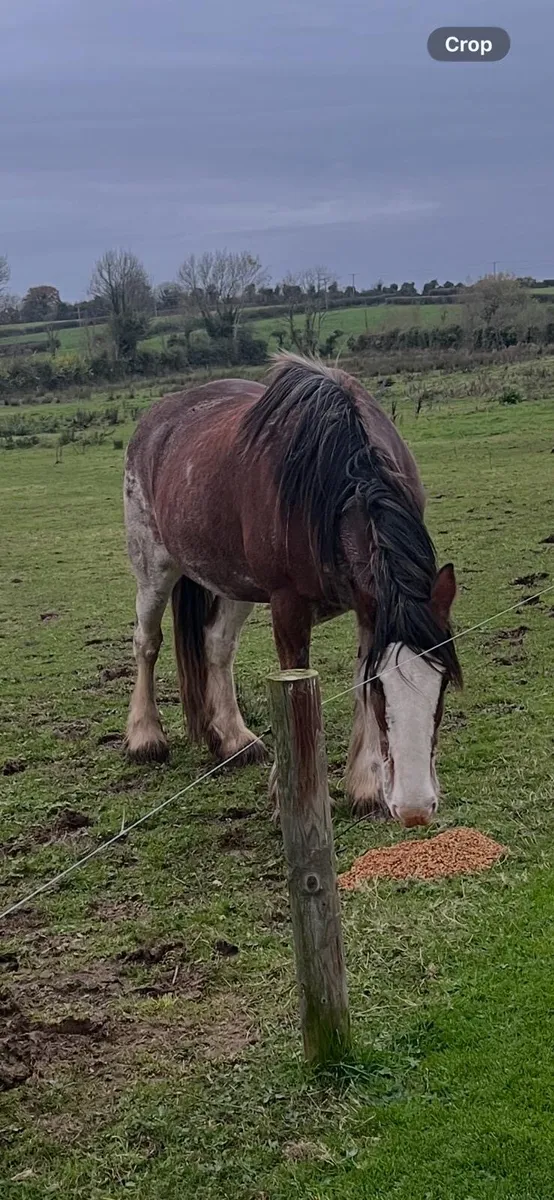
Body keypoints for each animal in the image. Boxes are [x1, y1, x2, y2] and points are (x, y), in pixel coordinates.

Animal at [123, 351, 462, 829]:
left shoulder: (367, 607)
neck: (334, 480)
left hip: (236, 582)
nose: (415, 808)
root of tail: (158, 416)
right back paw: (145, 736)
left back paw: (234, 739)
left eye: (443, 681)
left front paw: (364, 787)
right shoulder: (288, 606)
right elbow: (296, 685)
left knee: (217, 645)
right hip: (153, 563)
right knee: (146, 641)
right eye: (383, 688)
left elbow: (353, 682)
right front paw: (289, 796)